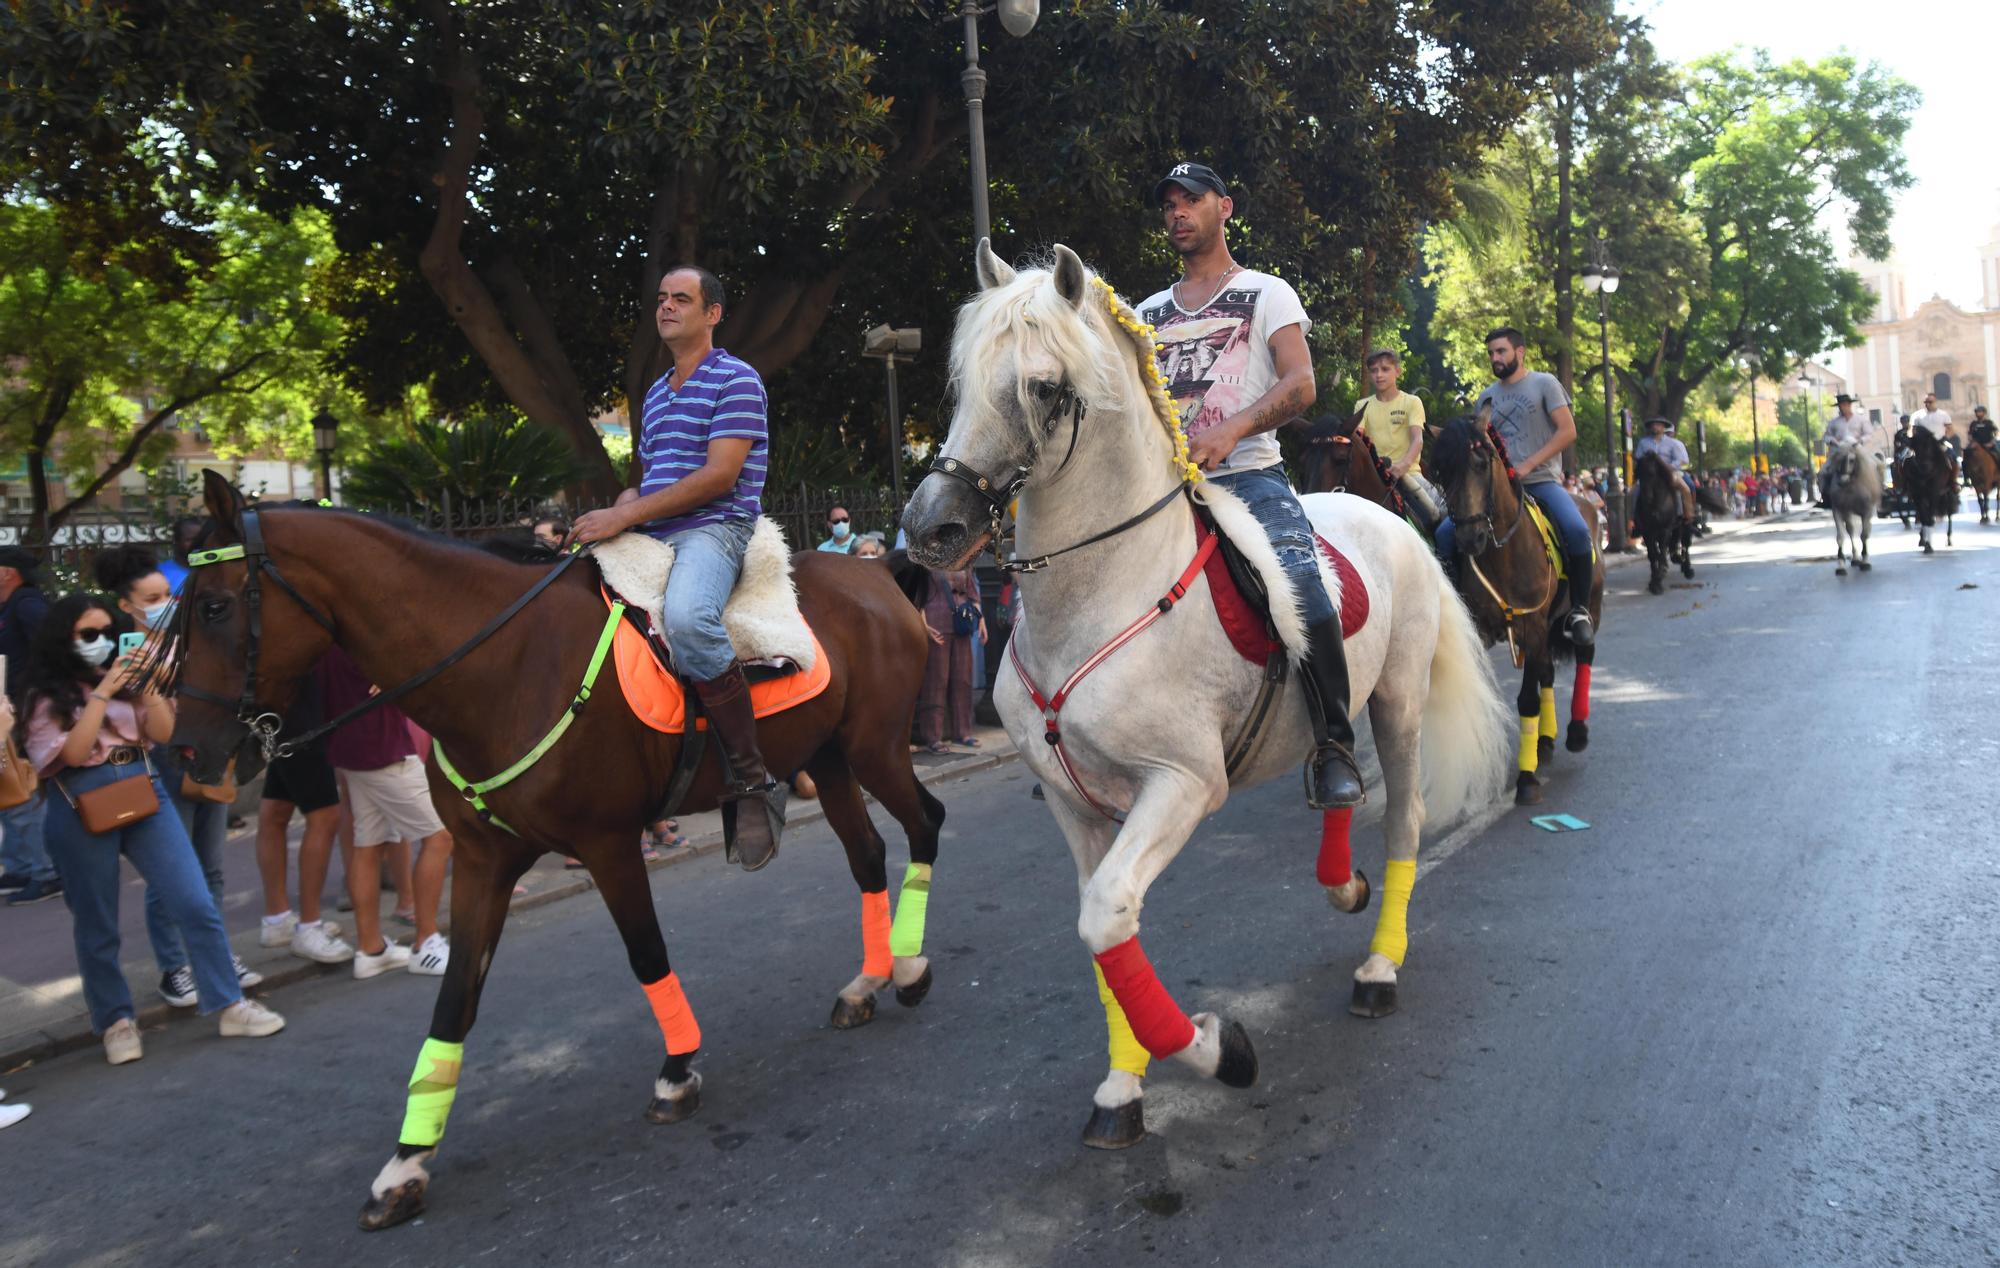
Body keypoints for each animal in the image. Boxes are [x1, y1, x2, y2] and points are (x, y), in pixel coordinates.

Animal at [168, 472, 940, 1224]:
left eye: (213, 607)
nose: (185, 750)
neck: (503, 667)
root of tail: (879, 570)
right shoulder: (482, 861)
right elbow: (456, 998)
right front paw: (407, 1162)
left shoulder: (607, 843)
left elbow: (647, 954)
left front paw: (677, 1072)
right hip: (830, 757)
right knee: (868, 855)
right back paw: (869, 980)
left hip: (873, 749)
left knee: (924, 825)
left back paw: (907, 967)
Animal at [900, 239, 1504, 1144]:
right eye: (960, 380)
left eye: (1042, 387)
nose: (930, 528)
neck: (1100, 593)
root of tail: (1389, 517)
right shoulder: (1075, 806)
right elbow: (1102, 931)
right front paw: (1122, 1090)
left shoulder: (1183, 784)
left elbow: (1106, 914)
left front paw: (1226, 1054)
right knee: (1335, 781)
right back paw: (1344, 884)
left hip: (1397, 703)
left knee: (1404, 820)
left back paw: (1378, 966)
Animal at [1424, 414, 1608, 800]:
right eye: (1440, 472)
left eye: (1482, 463)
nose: (1469, 538)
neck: (1503, 552)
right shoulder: (1484, 631)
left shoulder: (1533, 625)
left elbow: (1527, 700)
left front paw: (1526, 778)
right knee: (1547, 672)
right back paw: (1546, 741)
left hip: (1589, 606)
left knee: (1585, 651)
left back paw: (1576, 731)